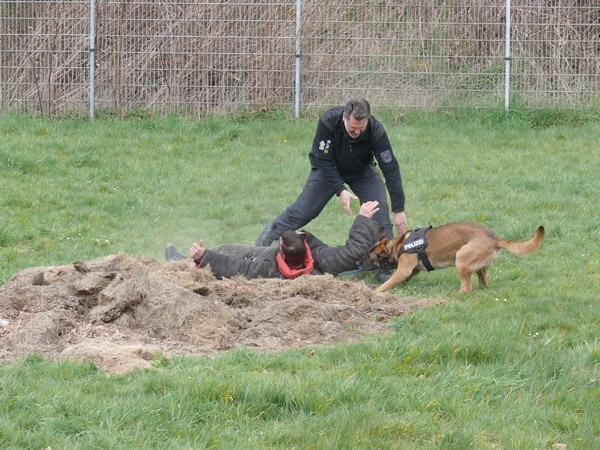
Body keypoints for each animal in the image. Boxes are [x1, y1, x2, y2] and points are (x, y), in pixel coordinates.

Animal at [366, 223, 544, 294]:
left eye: (371, 258)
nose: (360, 264)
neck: (399, 244)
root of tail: (495, 238)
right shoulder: (411, 271)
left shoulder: (403, 270)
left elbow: (388, 283)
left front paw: (375, 292)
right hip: (477, 267)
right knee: (482, 282)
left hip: (461, 259)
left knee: (467, 288)